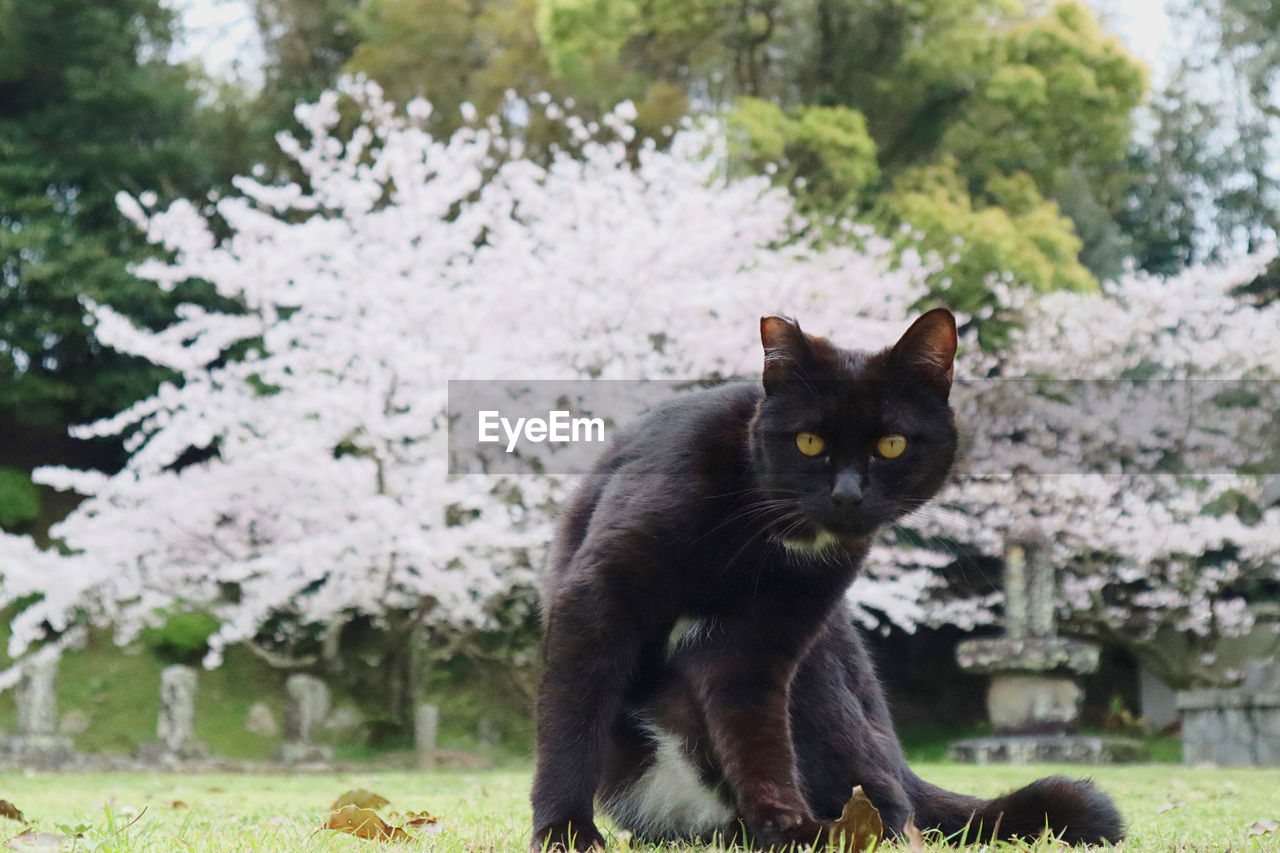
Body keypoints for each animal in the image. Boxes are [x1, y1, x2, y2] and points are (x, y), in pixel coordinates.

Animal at [529, 311, 1121, 850]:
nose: (847, 494)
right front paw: (564, 831)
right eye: (809, 441)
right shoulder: (598, 597)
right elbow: (573, 721)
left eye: (891, 444)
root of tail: (903, 765)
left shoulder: (759, 644)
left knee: (894, 809)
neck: (766, 531)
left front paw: (787, 829)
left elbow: (758, 740)